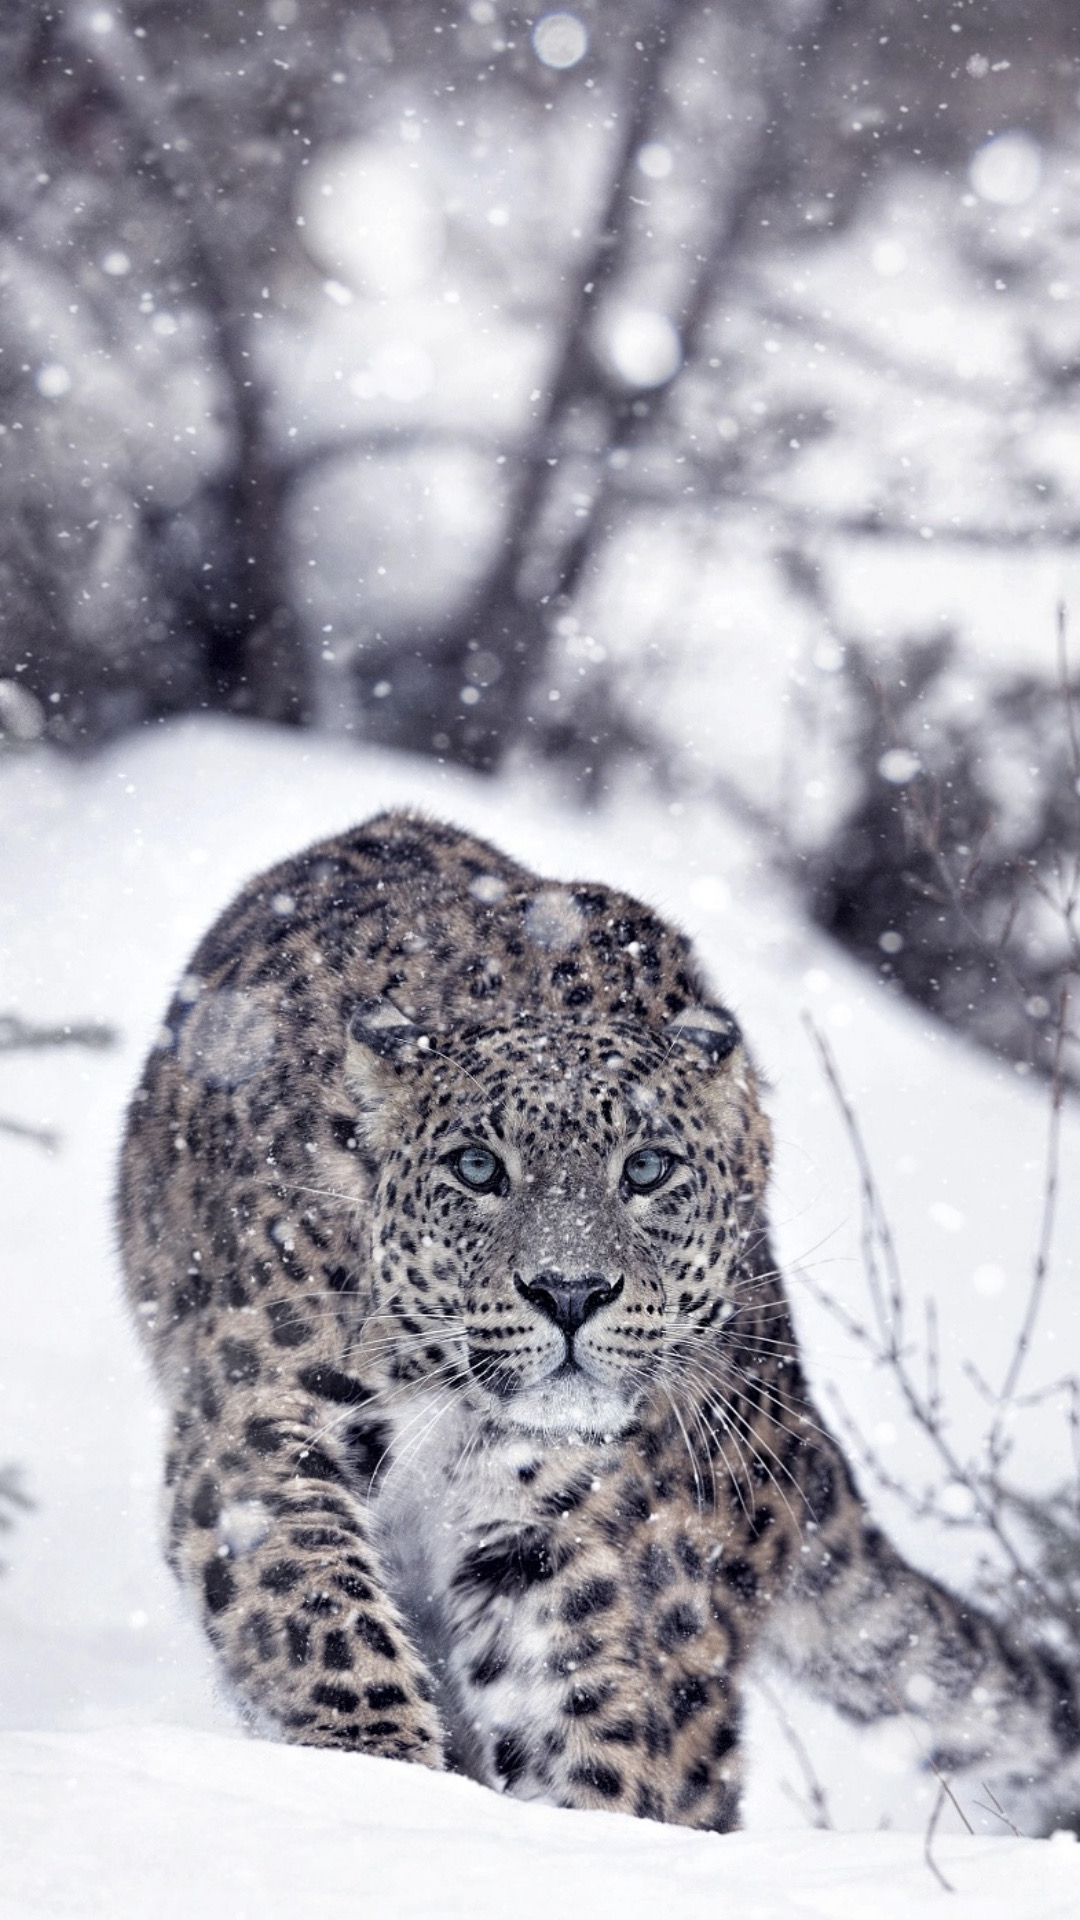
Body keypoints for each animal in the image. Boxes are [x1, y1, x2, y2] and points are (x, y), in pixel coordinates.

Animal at [118, 808, 1080, 1833]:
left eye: (649, 1168)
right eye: (476, 1167)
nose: (571, 1291)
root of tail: (797, 1424)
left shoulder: (551, 1530)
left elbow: (580, 1705)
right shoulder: (261, 1422)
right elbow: (315, 1605)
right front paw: (378, 1767)